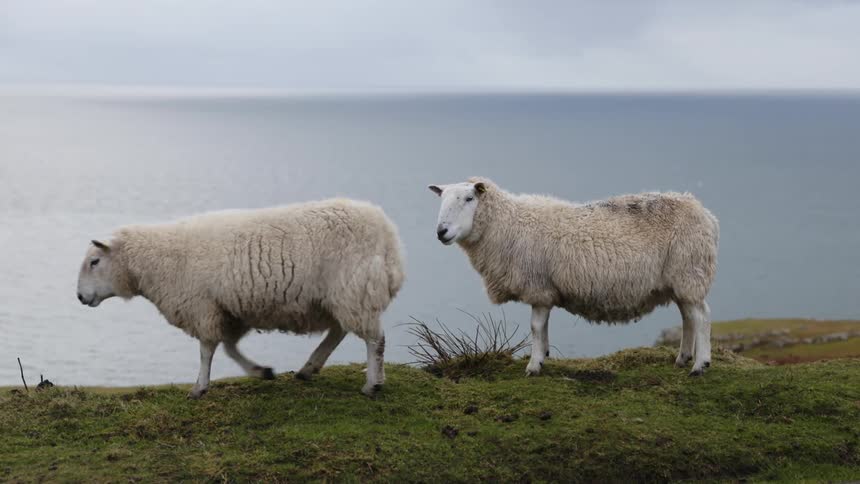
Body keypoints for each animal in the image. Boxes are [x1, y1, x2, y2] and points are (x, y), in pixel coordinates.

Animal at [76, 199, 405, 398]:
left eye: (94, 261)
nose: (79, 296)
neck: (156, 261)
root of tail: (388, 237)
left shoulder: (203, 307)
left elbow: (207, 350)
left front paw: (199, 387)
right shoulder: (231, 310)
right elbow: (230, 349)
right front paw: (261, 371)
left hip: (354, 289)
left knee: (374, 339)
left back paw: (372, 384)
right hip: (342, 296)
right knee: (340, 330)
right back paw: (309, 368)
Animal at [428, 177, 719, 376]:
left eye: (469, 199)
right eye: (442, 199)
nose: (441, 232)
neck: (508, 225)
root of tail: (704, 212)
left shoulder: (539, 288)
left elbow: (535, 327)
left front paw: (534, 366)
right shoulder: (545, 290)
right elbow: (543, 327)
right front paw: (544, 355)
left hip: (690, 271)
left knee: (702, 317)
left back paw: (700, 365)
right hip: (680, 279)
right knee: (688, 317)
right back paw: (682, 358)